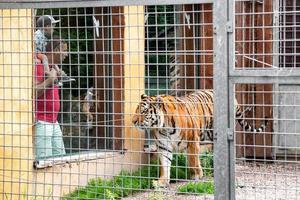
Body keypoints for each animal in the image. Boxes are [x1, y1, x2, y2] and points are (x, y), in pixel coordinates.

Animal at [132, 89, 268, 188]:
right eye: (136, 110)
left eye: (144, 111)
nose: (133, 121)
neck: (164, 126)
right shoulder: (164, 146)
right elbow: (165, 164)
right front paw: (162, 182)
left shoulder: (192, 141)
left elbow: (193, 160)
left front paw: (196, 176)